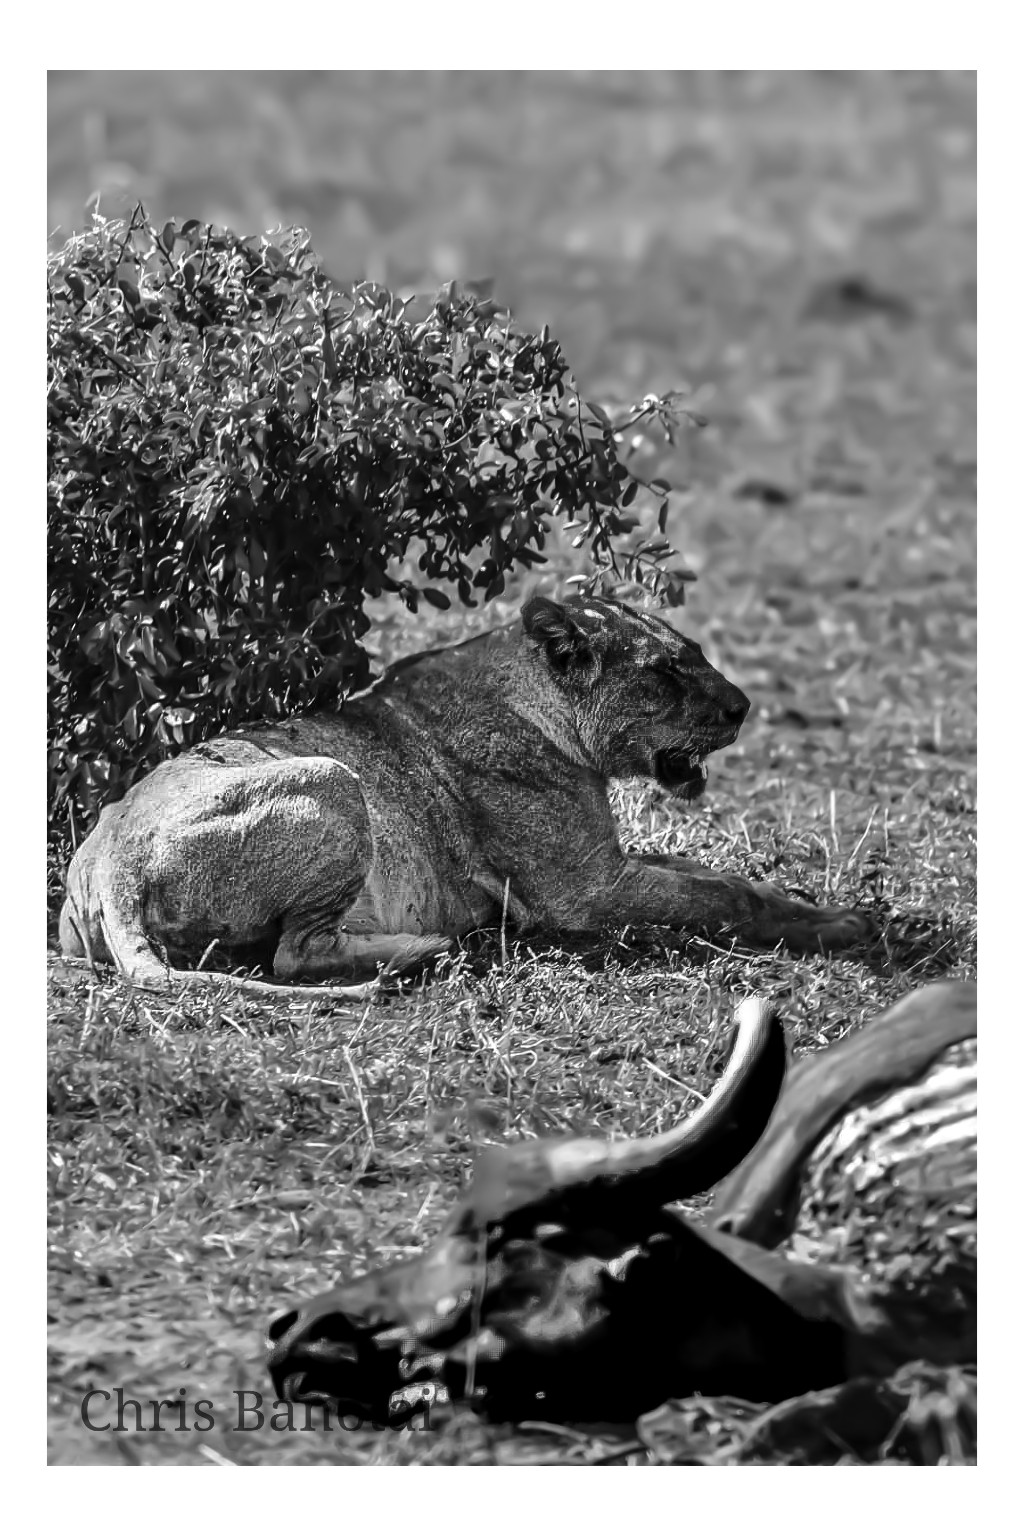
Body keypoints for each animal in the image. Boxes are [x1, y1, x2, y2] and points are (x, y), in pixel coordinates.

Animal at [59, 595, 872, 1000]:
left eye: (696, 653)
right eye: (665, 673)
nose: (741, 707)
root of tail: (109, 867)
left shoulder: (605, 862)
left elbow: (710, 875)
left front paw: (818, 905)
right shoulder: (582, 892)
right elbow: (723, 898)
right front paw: (844, 927)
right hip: (332, 779)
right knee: (293, 957)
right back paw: (429, 949)